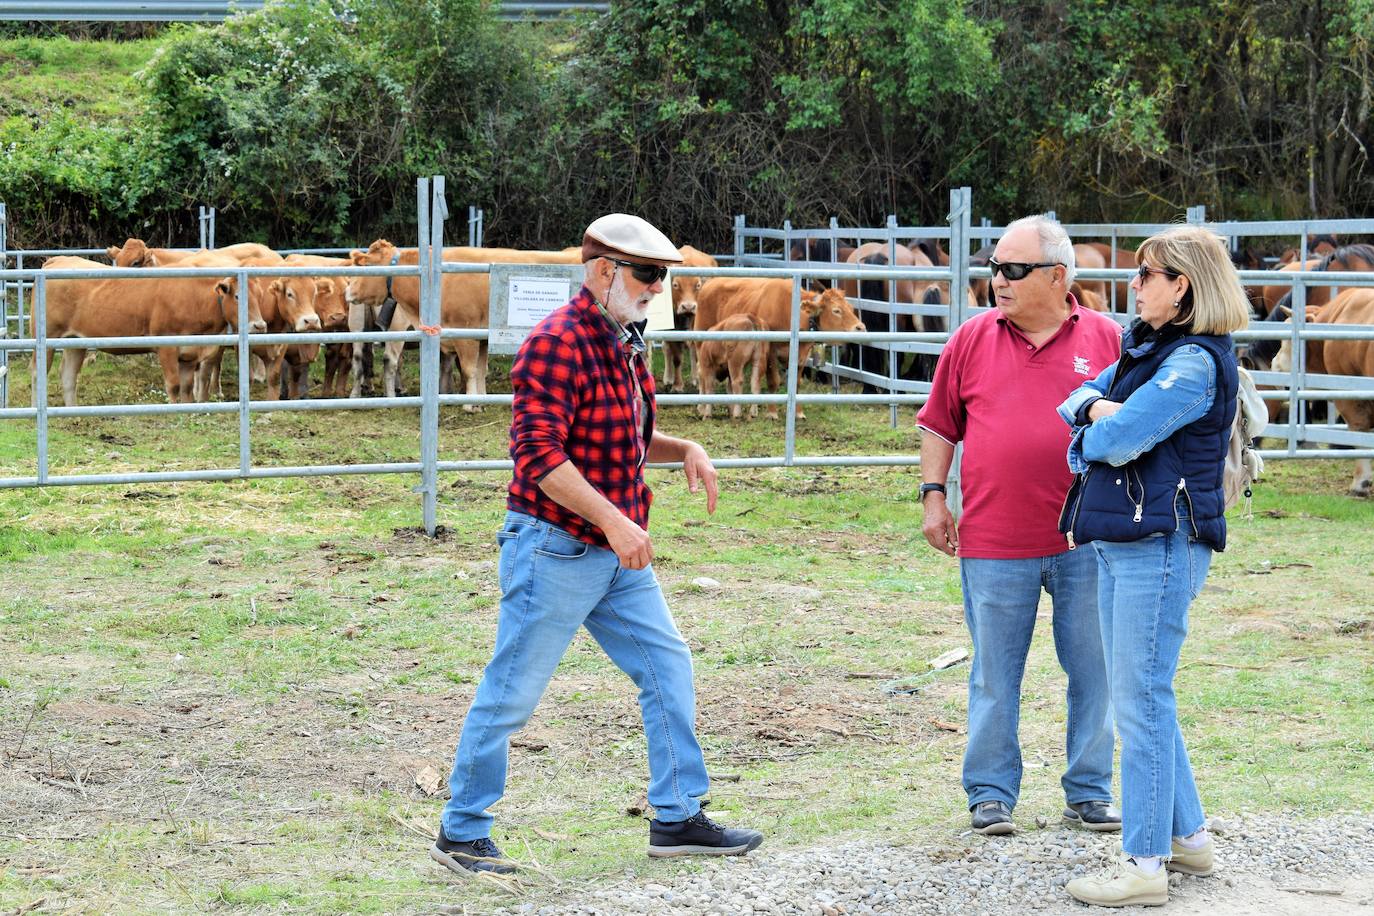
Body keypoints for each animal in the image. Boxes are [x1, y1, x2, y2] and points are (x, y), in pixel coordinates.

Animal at [35, 254, 265, 403]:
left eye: (260, 295)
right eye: (238, 296)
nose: (260, 325)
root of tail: (59, 260)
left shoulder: (189, 355)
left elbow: (187, 388)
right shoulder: (166, 347)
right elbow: (173, 385)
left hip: (75, 341)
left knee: (68, 377)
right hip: (46, 338)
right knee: (38, 374)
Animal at [662, 245, 719, 392]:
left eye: (698, 285)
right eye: (675, 285)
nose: (688, 307)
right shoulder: (672, 331)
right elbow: (677, 358)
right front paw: (677, 385)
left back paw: (695, 379)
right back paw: (668, 378)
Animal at [692, 277, 862, 417]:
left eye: (851, 308)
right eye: (836, 310)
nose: (860, 327)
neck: (791, 312)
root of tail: (711, 282)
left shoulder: (801, 355)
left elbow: (796, 384)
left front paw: (798, 413)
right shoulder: (771, 353)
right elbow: (774, 381)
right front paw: (772, 413)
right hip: (702, 343)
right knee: (702, 373)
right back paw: (702, 407)